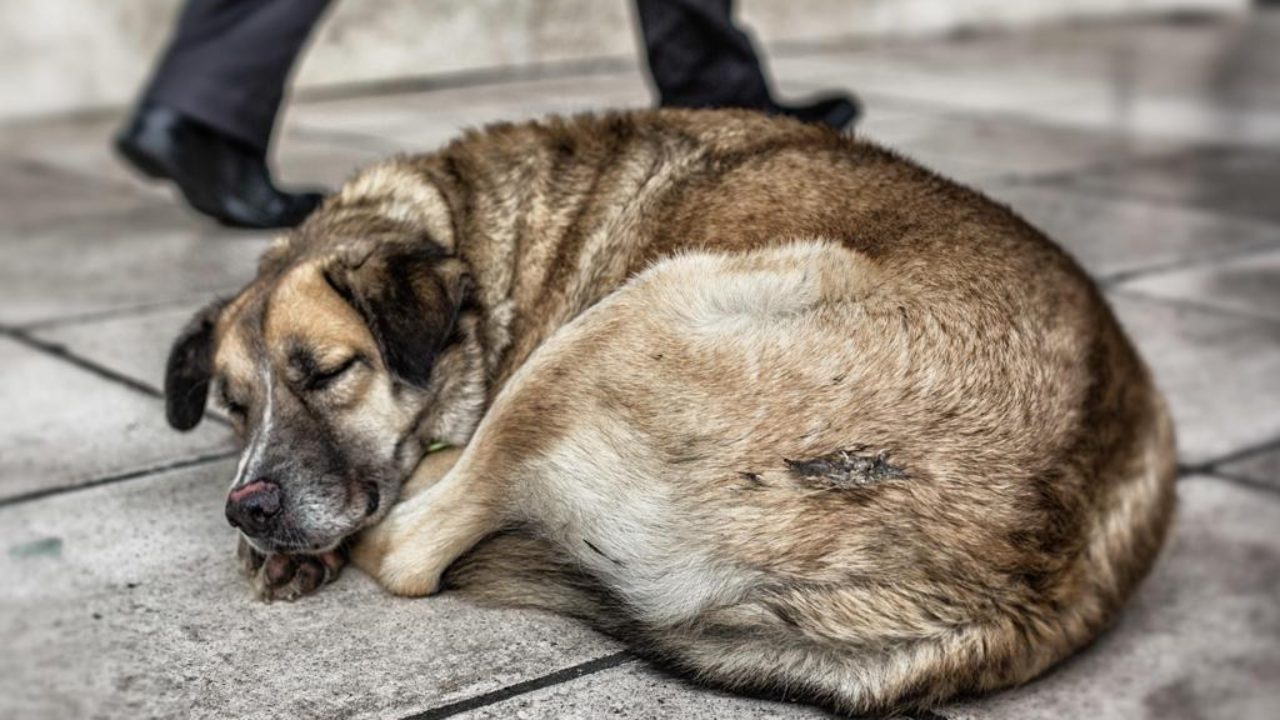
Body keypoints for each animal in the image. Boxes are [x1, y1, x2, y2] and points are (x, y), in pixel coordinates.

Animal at [165, 107, 1172, 712]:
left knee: (415, 546)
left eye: (329, 372)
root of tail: (1034, 573)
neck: (476, 240)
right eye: (232, 407)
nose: (247, 507)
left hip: (629, 315)